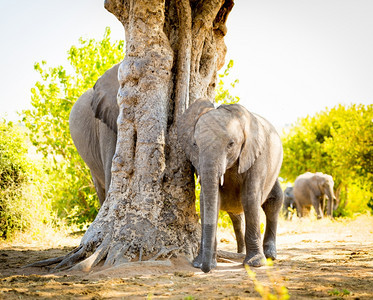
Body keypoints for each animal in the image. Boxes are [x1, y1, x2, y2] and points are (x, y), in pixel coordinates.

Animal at [177, 99, 282, 274]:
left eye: (231, 144)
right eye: (195, 144)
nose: (205, 269)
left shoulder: (256, 156)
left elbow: (250, 198)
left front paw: (255, 263)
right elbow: (207, 200)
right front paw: (199, 263)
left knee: (274, 202)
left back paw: (270, 256)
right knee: (236, 216)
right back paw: (240, 253)